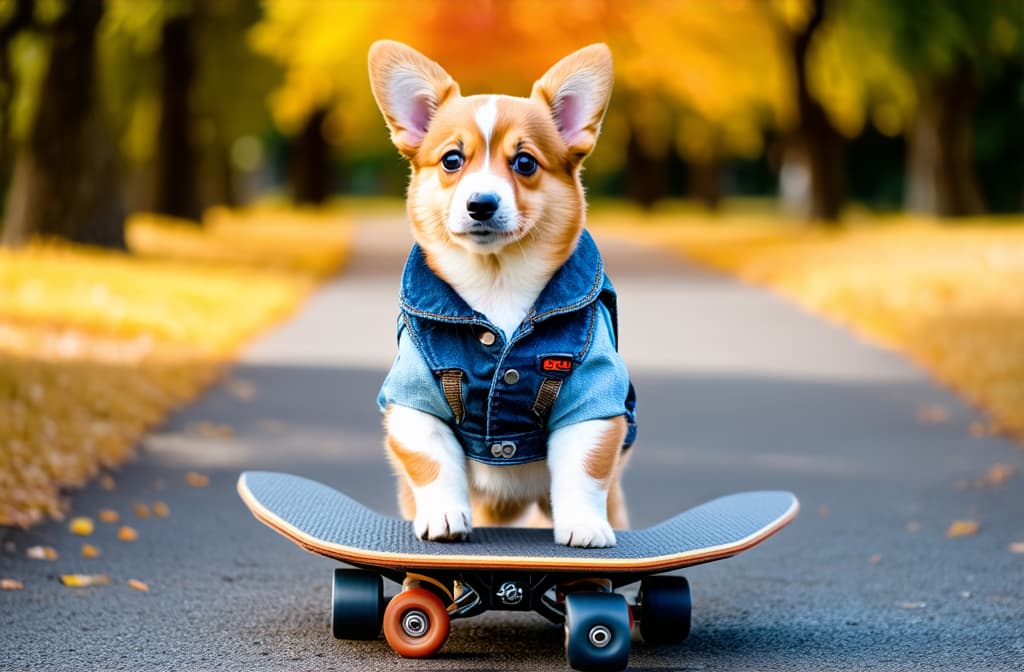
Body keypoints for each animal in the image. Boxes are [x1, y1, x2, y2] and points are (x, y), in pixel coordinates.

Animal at [372, 40, 634, 544]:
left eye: (525, 162)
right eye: (452, 160)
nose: (481, 204)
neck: (496, 284)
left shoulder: (593, 400)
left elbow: (583, 469)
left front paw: (584, 525)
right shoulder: (413, 402)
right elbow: (434, 462)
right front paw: (444, 516)